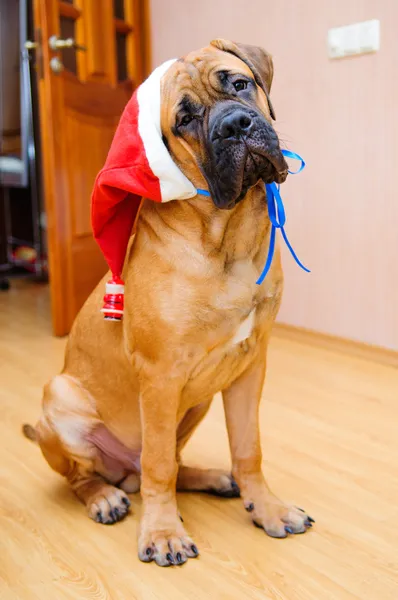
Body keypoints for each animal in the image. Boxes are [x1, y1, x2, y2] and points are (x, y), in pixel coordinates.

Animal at [26, 38, 316, 568]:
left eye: (239, 83)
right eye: (184, 119)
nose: (235, 125)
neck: (227, 235)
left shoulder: (250, 366)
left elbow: (249, 448)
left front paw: (266, 507)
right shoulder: (160, 376)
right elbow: (158, 462)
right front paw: (162, 533)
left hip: (197, 401)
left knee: (165, 463)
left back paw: (210, 478)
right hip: (60, 397)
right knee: (99, 474)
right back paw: (104, 497)